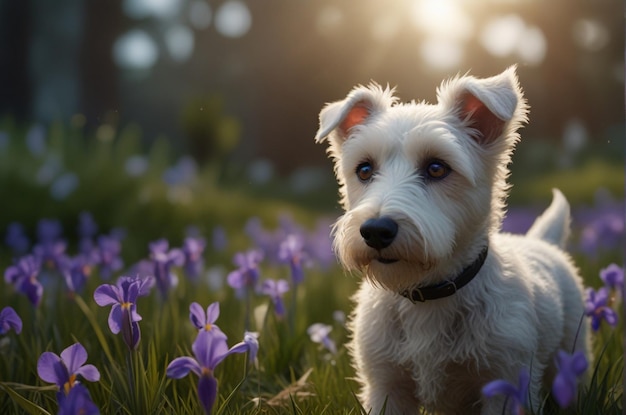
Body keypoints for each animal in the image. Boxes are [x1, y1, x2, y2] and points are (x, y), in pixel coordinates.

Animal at [314, 66, 588, 414]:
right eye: (364, 170)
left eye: (436, 168)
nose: (375, 230)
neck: (427, 295)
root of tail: (543, 242)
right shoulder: (387, 387)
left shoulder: (505, 383)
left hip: (574, 348)